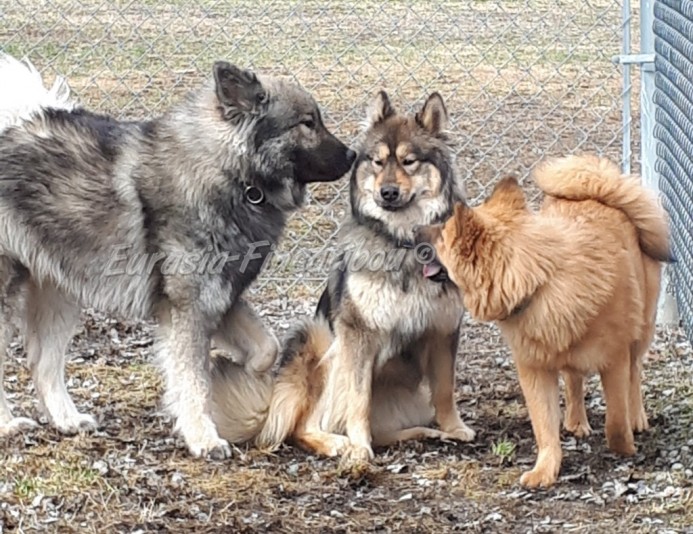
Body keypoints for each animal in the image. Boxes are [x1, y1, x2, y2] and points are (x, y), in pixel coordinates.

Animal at [0, 53, 356, 456]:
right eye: (307, 123)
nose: (352, 155)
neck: (233, 177)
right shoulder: (189, 308)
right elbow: (193, 382)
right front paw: (204, 437)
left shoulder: (222, 297)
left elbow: (266, 348)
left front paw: (246, 378)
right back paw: (9, 424)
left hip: (59, 295)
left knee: (43, 364)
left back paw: (68, 420)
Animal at [208, 90, 476, 462]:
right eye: (377, 162)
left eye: (409, 161)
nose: (387, 192)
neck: (403, 244)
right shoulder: (358, 334)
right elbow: (358, 399)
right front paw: (358, 447)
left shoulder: (443, 329)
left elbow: (445, 390)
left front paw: (454, 427)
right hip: (320, 340)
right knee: (301, 427)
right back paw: (337, 442)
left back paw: (425, 432)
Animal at [416, 156, 672, 490]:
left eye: (443, 234)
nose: (415, 230)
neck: (539, 282)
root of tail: (598, 192)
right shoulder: (535, 370)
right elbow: (544, 427)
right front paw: (545, 470)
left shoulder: (614, 360)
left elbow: (616, 419)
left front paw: (625, 448)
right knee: (574, 379)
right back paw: (576, 420)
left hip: (642, 330)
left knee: (635, 373)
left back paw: (637, 417)